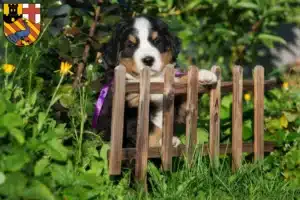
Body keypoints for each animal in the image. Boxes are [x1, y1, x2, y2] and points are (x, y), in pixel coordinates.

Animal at [95, 15, 216, 148]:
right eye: (131, 45)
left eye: (157, 41)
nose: (148, 60)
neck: (153, 80)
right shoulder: (128, 110)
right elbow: (151, 128)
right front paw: (165, 140)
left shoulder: (178, 103)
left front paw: (204, 74)